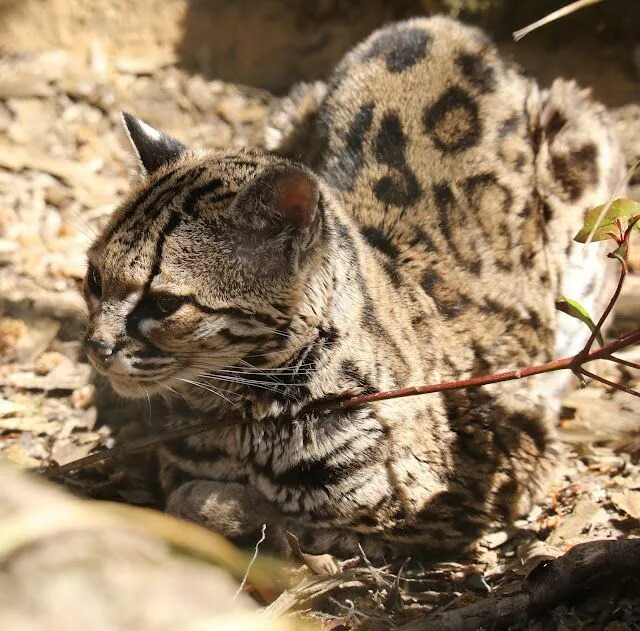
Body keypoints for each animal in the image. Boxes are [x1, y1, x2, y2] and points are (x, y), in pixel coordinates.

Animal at [82, 16, 624, 556]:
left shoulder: (485, 475)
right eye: (94, 279)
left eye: (164, 304)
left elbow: (248, 512)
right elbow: (185, 494)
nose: (96, 347)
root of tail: (441, 24)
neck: (244, 411)